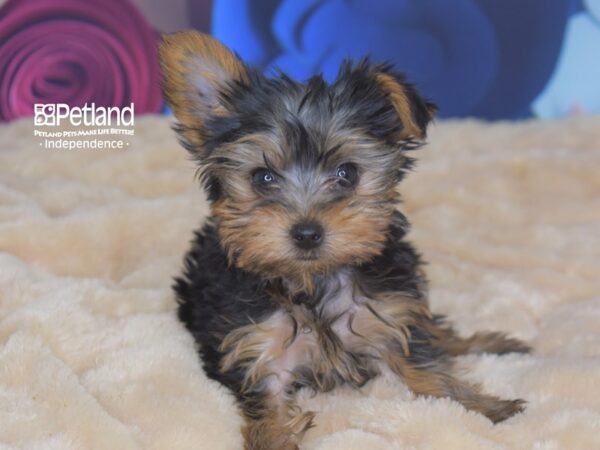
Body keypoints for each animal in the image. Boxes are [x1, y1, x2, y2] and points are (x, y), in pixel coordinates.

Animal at [161, 32, 528, 450]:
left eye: (346, 173)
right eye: (263, 177)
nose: (306, 233)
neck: (313, 282)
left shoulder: (388, 319)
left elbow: (430, 371)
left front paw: (487, 407)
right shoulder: (259, 352)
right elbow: (269, 417)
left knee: (435, 331)